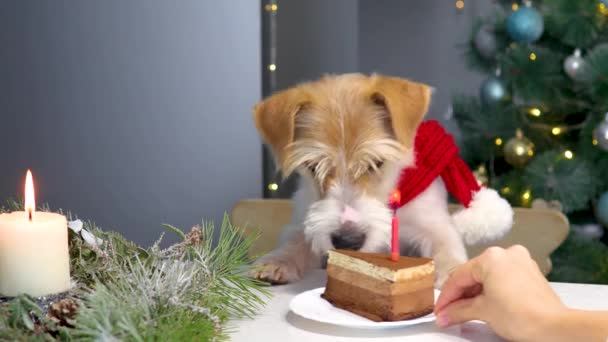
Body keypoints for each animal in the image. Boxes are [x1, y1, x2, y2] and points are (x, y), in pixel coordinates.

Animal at [251, 73, 470, 288]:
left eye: (377, 163)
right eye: (313, 166)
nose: (347, 241)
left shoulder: (433, 223)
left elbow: (445, 245)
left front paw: (455, 273)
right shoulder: (308, 221)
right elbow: (295, 240)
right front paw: (277, 261)